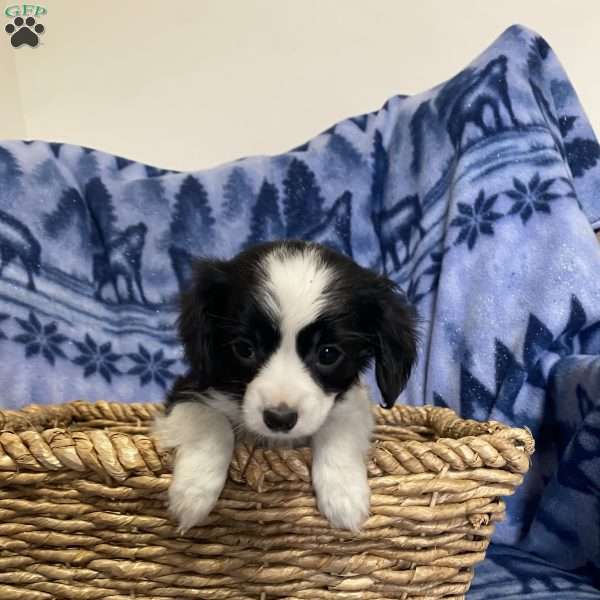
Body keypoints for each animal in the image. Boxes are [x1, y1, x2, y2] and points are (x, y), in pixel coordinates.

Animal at [155, 241, 418, 532]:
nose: (279, 419)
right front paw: (193, 493)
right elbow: (211, 422)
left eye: (328, 354)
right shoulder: (188, 389)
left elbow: (339, 425)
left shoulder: (351, 401)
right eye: (244, 348)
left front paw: (344, 495)